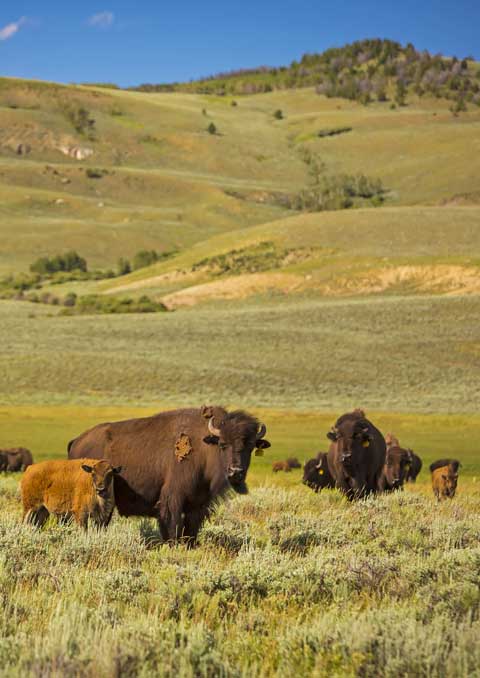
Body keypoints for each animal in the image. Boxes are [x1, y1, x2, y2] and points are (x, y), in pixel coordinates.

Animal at [68, 404, 270, 548]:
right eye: (223, 444)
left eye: (250, 446)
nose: (236, 471)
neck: (205, 448)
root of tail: (76, 441)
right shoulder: (172, 499)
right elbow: (173, 528)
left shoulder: (198, 504)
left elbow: (190, 531)